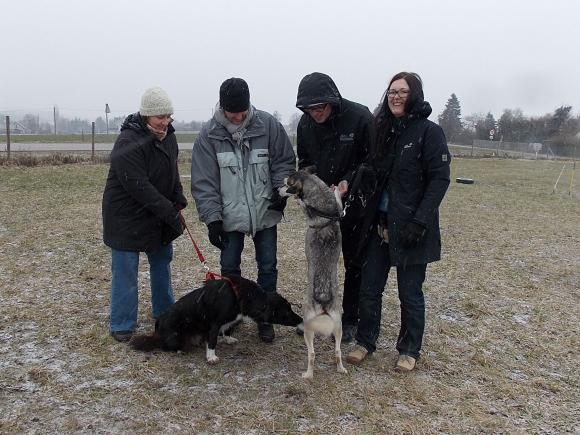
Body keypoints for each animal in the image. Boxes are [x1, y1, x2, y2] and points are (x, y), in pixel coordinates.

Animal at [131, 276, 302, 364]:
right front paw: (211, 356)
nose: (301, 319)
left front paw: (228, 339)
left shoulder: (227, 321)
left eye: (290, 307)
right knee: (165, 346)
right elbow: (212, 340)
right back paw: (180, 349)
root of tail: (158, 324)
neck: (240, 295)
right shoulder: (214, 323)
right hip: (175, 337)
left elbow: (227, 329)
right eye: (287, 312)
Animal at [280, 169, 348, 380]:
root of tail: (324, 299)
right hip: (339, 327)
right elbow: (339, 199)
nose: (281, 180)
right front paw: (338, 187)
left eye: (289, 181)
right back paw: (341, 369)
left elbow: (301, 203)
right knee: (337, 352)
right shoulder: (339, 208)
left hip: (308, 329)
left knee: (312, 354)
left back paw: (307, 374)